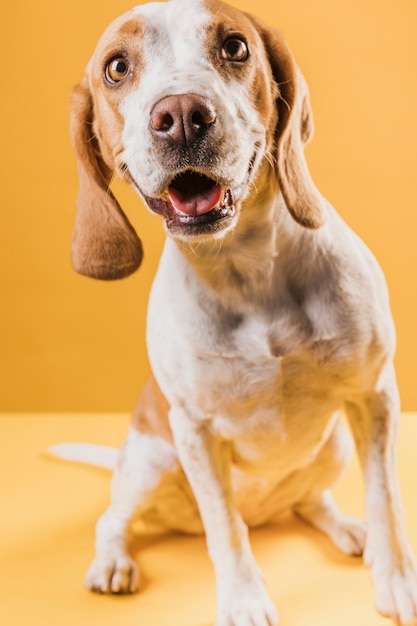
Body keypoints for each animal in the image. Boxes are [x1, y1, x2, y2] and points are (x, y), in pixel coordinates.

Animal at [54, 0, 416, 620]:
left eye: (235, 47)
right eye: (117, 67)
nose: (180, 115)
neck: (248, 273)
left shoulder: (374, 395)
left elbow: (386, 499)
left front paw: (396, 579)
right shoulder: (195, 432)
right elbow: (225, 528)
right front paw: (244, 599)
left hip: (336, 444)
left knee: (310, 502)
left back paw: (347, 529)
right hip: (149, 461)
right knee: (115, 520)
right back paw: (112, 560)